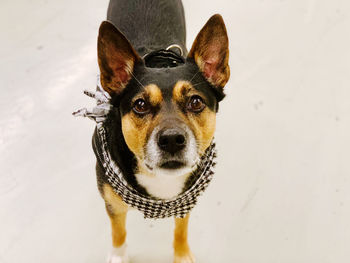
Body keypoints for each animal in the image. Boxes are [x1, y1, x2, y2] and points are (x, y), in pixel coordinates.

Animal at [93, 0, 230, 263]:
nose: (172, 140)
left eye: (195, 102)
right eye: (140, 105)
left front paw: (182, 254)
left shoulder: (186, 201)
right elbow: (118, 231)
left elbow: (181, 229)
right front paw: (118, 255)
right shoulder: (113, 203)